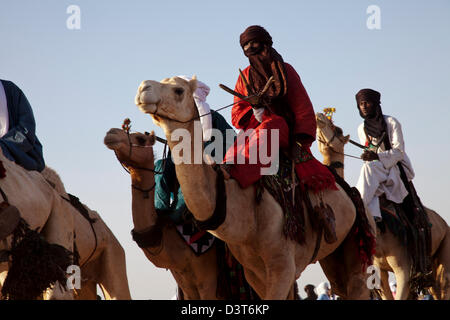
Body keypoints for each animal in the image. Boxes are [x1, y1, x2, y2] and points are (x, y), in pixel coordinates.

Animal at [133, 75, 372, 300]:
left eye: (178, 90)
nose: (143, 88)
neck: (245, 211)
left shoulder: (283, 265)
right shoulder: (255, 273)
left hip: (358, 238)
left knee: (356, 285)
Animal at [316, 112, 450, 300]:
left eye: (338, 129)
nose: (319, 115)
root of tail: (443, 223)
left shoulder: (404, 267)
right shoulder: (379, 271)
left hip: (444, 249)